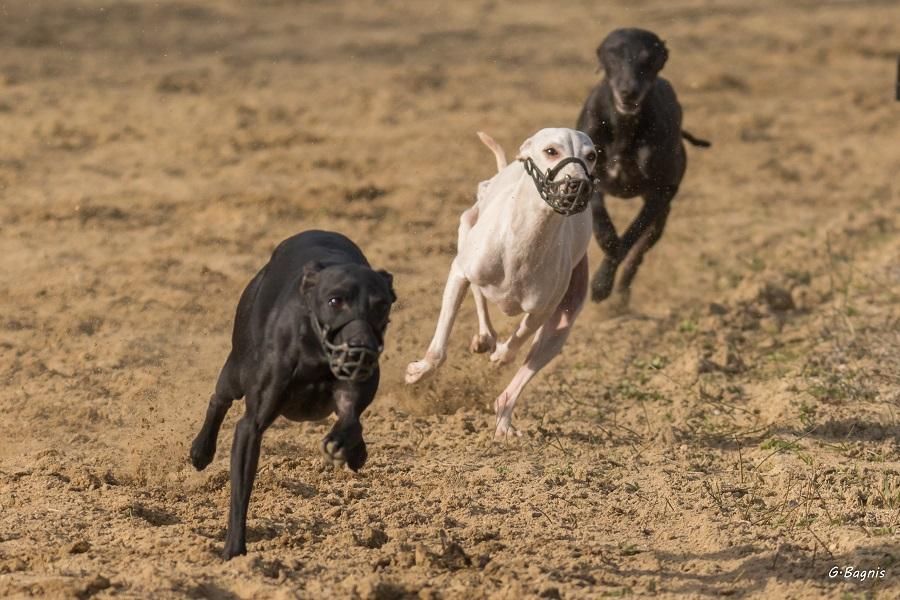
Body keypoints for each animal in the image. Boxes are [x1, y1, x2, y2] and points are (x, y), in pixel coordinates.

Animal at [189, 229, 394, 556]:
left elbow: (351, 417)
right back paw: (201, 450)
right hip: (237, 367)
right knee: (219, 399)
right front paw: (234, 550)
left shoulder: (353, 391)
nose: (360, 350)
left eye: (382, 305)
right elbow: (240, 492)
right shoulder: (251, 425)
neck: (316, 352)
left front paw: (343, 443)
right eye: (335, 300)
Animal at [408, 127, 596, 436]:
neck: (526, 239)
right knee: (478, 293)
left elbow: (518, 339)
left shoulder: (544, 310)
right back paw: (485, 337)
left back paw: (504, 421)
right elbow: (439, 347)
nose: (578, 185)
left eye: (591, 155)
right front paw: (418, 372)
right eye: (551, 151)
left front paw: (500, 355)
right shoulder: (459, 272)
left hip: (561, 324)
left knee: (524, 370)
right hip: (467, 227)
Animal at [576, 27, 712, 304]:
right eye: (614, 54)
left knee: (639, 251)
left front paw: (601, 284)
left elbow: (629, 238)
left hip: (661, 215)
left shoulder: (660, 194)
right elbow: (605, 229)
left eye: (649, 58)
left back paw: (621, 294)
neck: (624, 127)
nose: (629, 91)